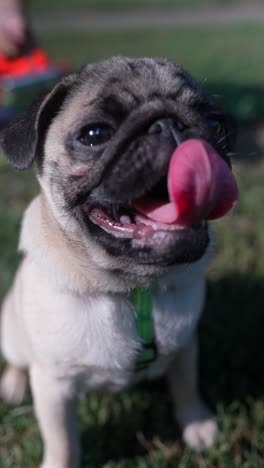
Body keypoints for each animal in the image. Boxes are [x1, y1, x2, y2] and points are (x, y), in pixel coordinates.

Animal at [0, 56, 237, 466]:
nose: (169, 124)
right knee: (17, 359)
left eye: (214, 123)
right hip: (11, 331)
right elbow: (61, 439)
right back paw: (12, 385)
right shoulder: (53, 384)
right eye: (95, 134)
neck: (133, 287)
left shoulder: (185, 345)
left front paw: (197, 425)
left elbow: (186, 385)